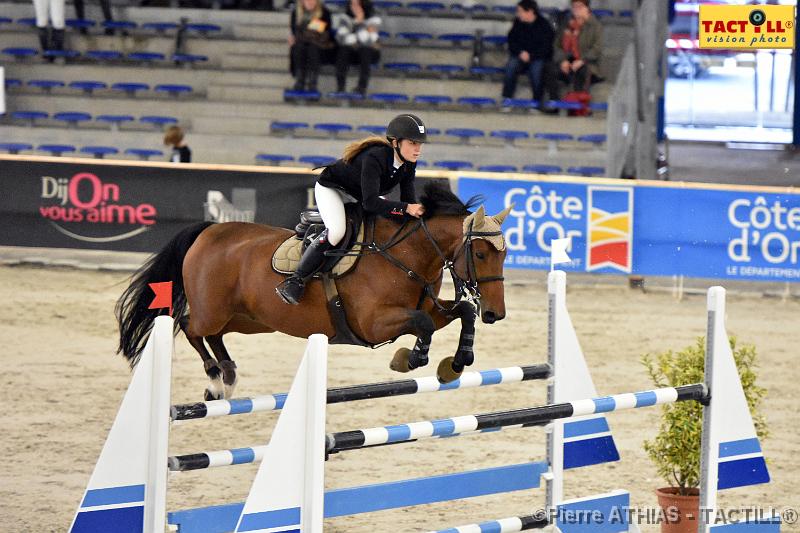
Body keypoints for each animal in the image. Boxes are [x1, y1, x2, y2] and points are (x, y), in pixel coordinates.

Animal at [115, 183, 510, 400]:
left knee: (214, 334)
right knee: (188, 325)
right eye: (480, 254)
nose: (496, 314)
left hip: (251, 319)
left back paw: (226, 377)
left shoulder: (430, 308)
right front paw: (407, 359)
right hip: (214, 310)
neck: (405, 256)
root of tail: (209, 230)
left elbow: (461, 313)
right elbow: (423, 326)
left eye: (504, 254)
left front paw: (457, 363)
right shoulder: (374, 323)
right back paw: (216, 379)